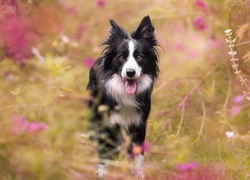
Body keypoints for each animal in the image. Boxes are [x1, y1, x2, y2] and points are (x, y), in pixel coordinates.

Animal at [87, 15, 159, 177]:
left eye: (140, 57)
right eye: (120, 57)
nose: (130, 72)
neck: (125, 95)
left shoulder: (138, 124)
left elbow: (138, 154)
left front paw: (139, 174)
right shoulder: (106, 125)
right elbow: (104, 154)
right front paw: (103, 174)